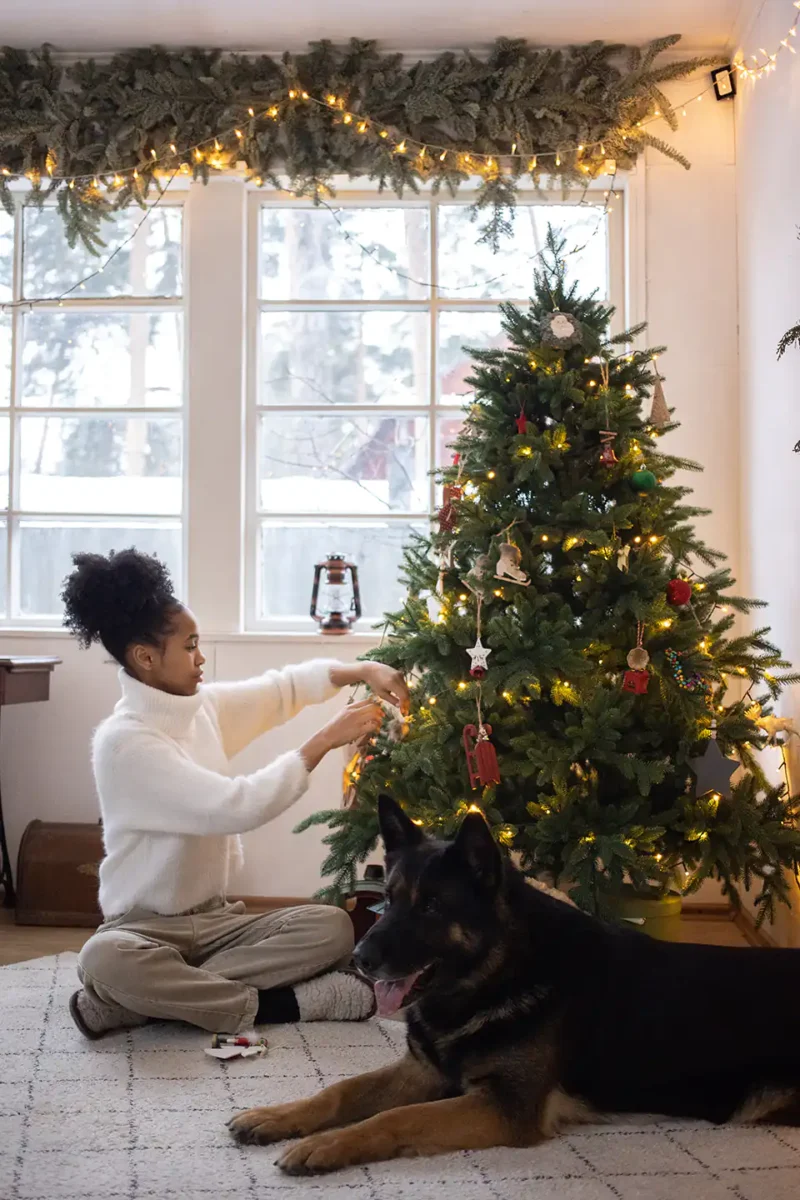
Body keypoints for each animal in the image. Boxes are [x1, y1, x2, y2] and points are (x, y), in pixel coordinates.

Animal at [226, 796, 800, 1171]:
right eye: (387, 898)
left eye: (431, 907)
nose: (360, 959)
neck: (496, 979)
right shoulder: (423, 1071)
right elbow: (341, 1090)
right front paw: (278, 1116)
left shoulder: (502, 1108)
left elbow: (394, 1119)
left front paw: (326, 1146)